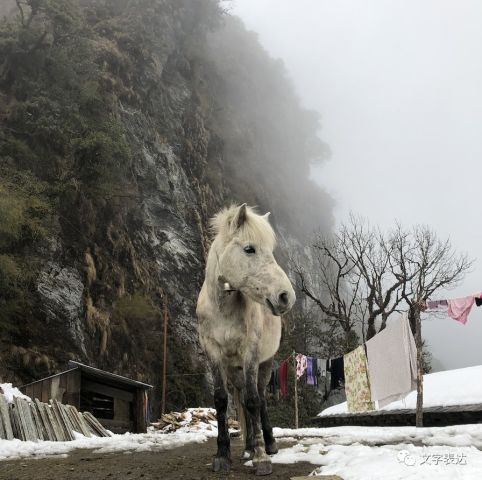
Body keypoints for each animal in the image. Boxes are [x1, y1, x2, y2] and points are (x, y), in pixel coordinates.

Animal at [197, 204, 296, 474]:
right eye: (249, 249)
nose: (286, 297)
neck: (222, 308)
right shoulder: (213, 353)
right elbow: (222, 401)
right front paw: (222, 455)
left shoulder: (250, 352)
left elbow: (253, 401)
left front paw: (262, 458)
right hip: (235, 369)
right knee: (241, 398)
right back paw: (249, 446)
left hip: (265, 363)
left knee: (260, 398)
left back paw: (267, 444)